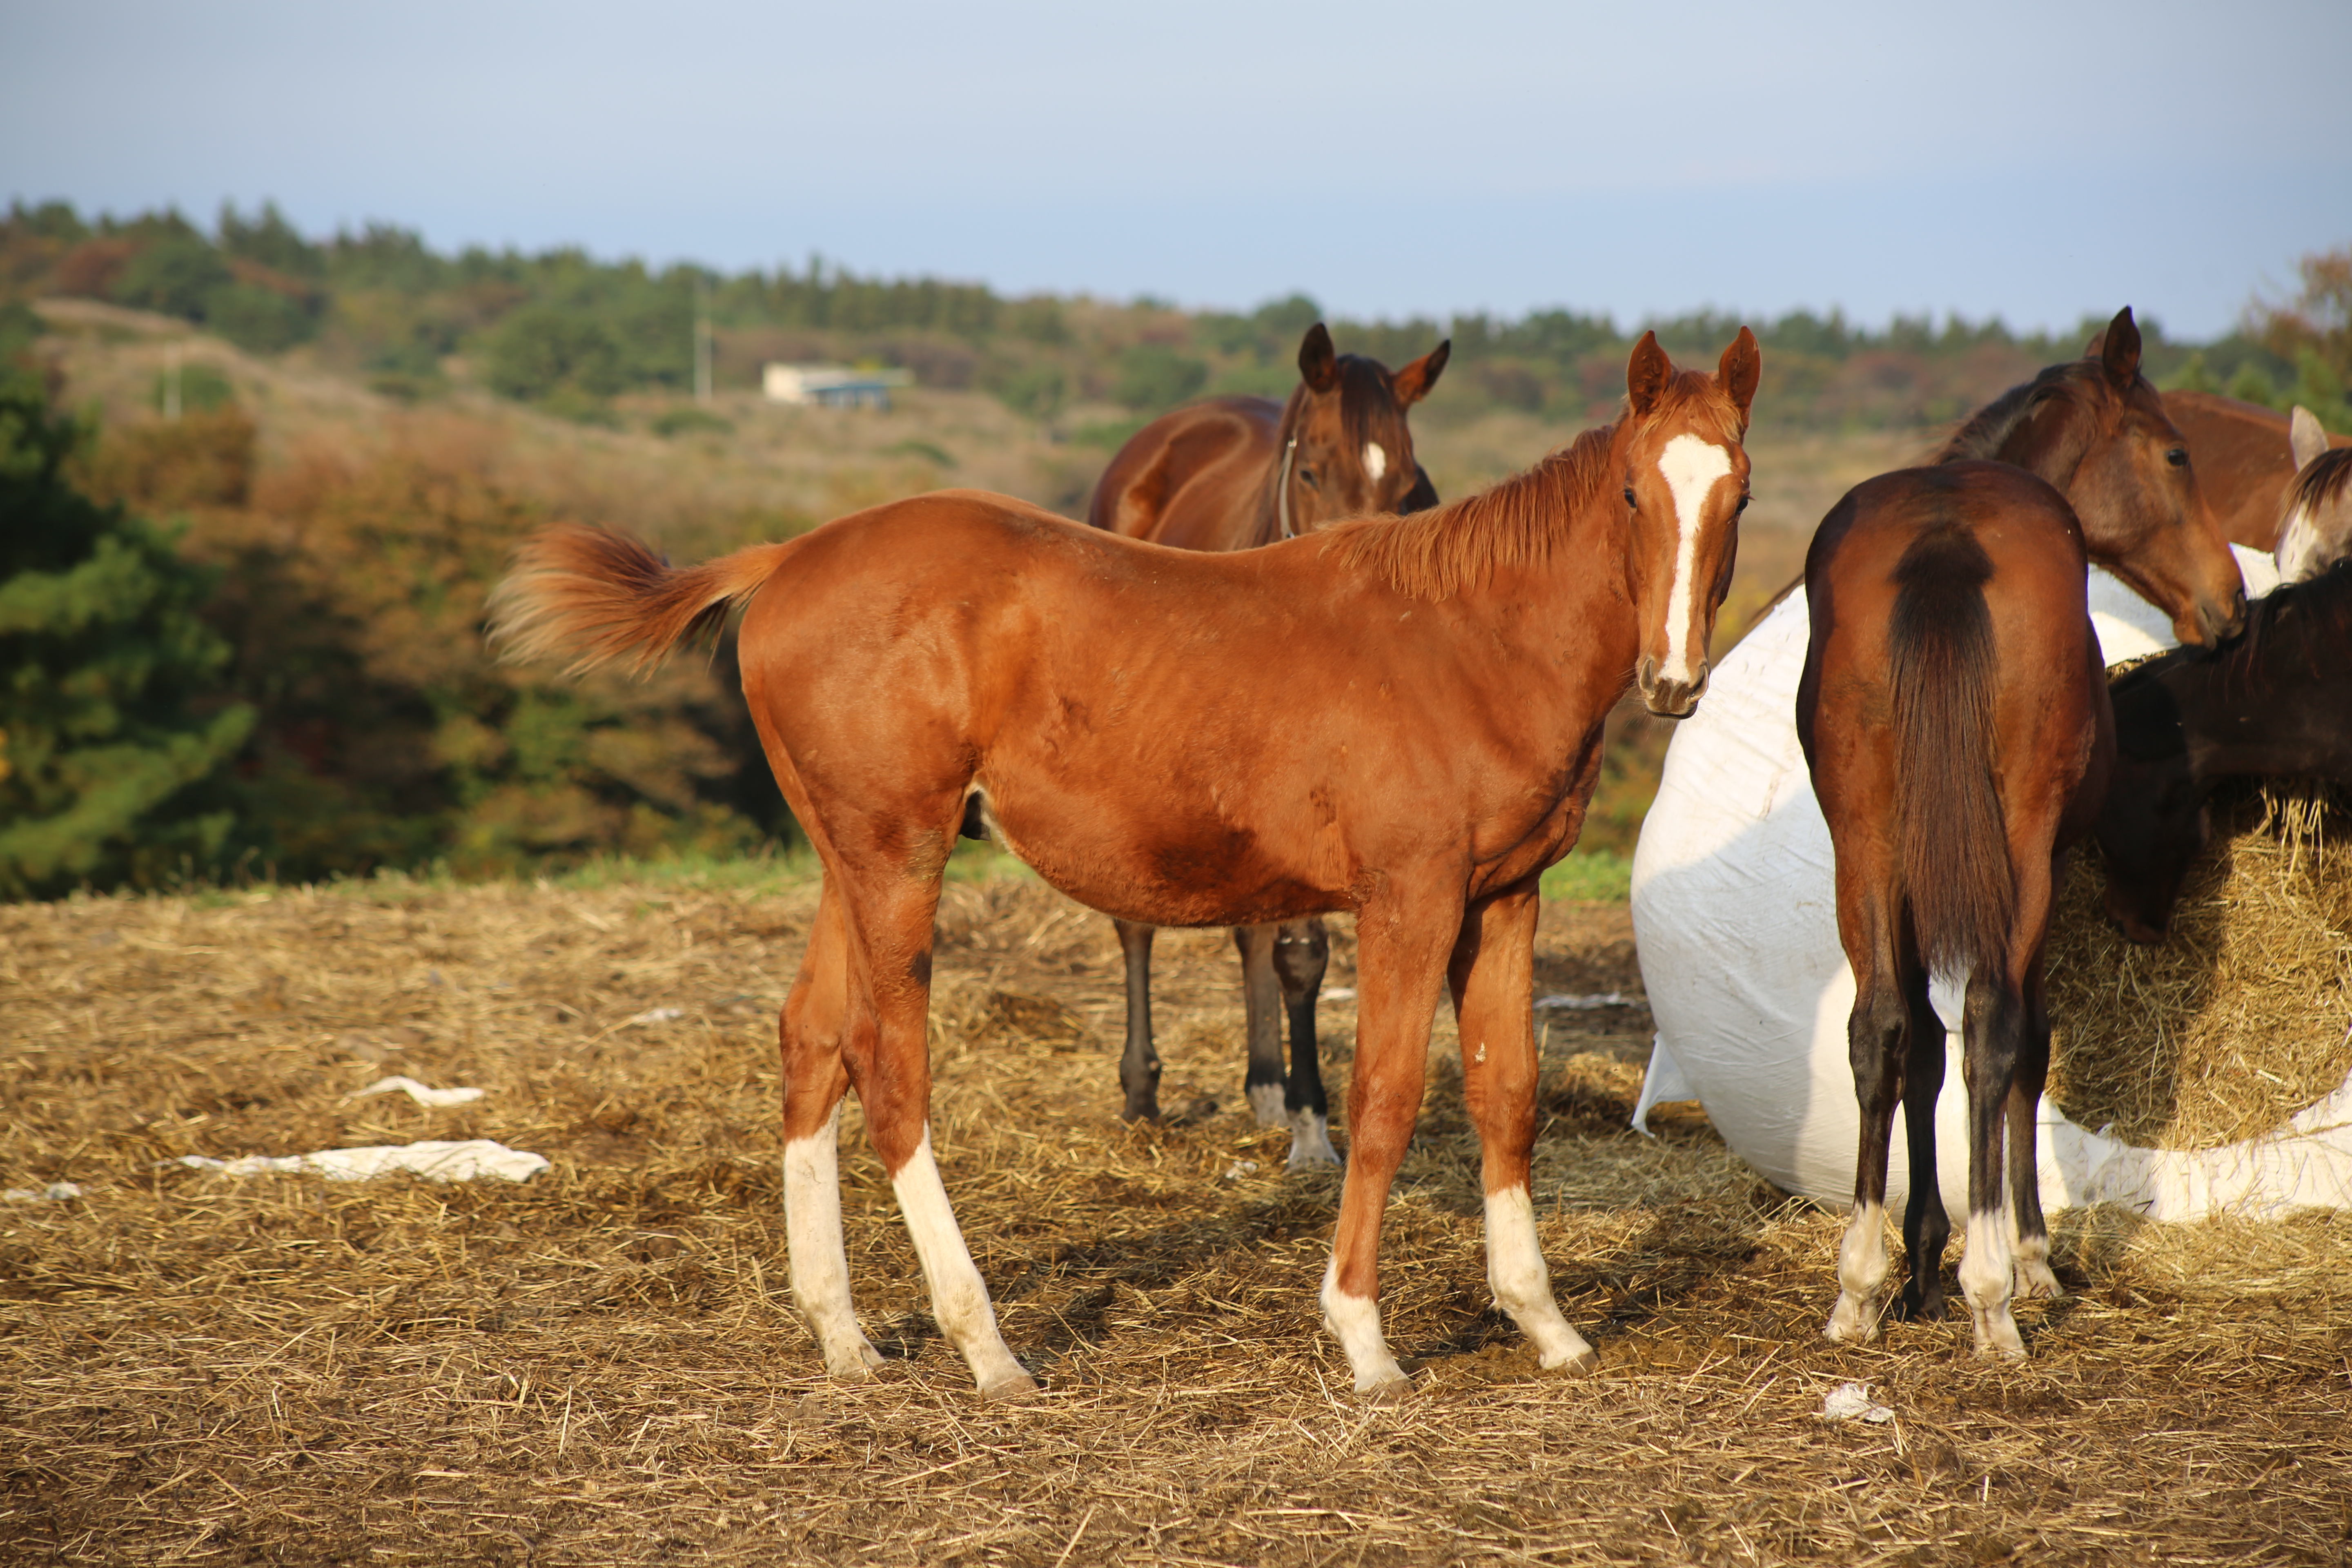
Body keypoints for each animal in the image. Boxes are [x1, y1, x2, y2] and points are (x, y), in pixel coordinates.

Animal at [1082, 324, 1449, 1171]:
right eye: (1311, 471)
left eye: (1409, 486)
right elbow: (1295, 950)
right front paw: (1314, 1125)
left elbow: (1302, 954)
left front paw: (1304, 1113)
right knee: (1137, 925)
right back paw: (1142, 1091)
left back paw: (1266, 1087)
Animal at [1797, 461, 2117, 1354]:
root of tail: (1945, 537)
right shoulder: (2046, 871)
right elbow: (2024, 1051)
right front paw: (2028, 1258)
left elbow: (1918, 1054)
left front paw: (1919, 1265)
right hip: (2024, 850)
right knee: (1993, 1026)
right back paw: (1992, 1295)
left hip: (1865, 841)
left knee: (1879, 1028)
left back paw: (1857, 1290)